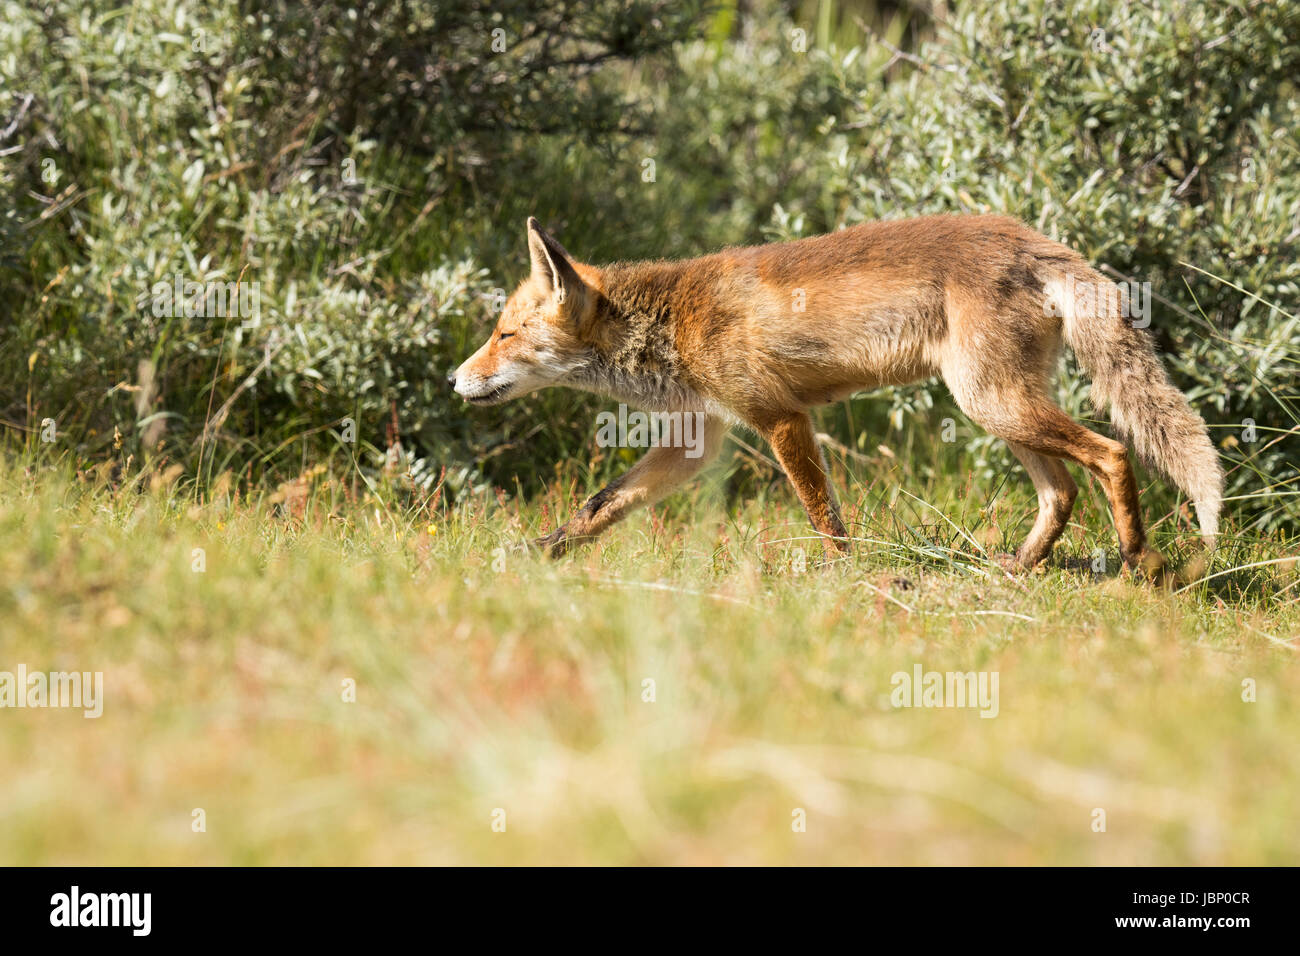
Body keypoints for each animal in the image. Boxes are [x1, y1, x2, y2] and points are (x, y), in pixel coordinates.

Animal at [452, 214, 1222, 574]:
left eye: (503, 334)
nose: (454, 379)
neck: (672, 320)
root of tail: (1029, 237)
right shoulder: (699, 439)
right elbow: (600, 506)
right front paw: (540, 553)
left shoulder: (779, 418)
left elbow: (823, 515)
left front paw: (840, 577)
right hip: (999, 408)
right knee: (1060, 491)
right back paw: (1016, 568)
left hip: (991, 403)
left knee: (1113, 453)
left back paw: (1137, 563)